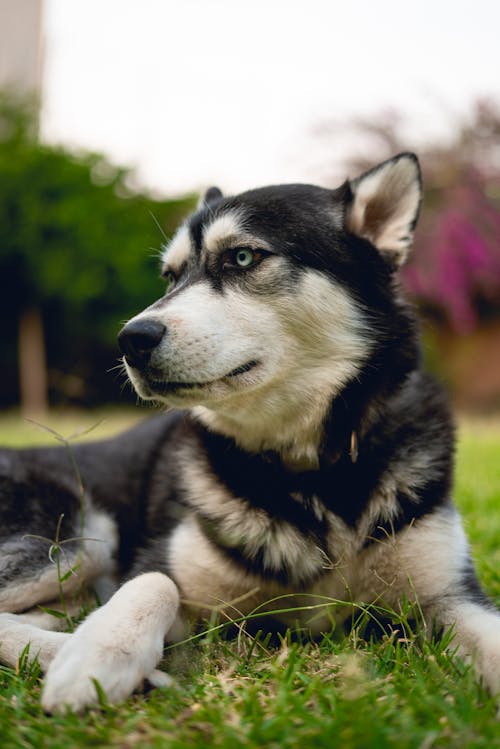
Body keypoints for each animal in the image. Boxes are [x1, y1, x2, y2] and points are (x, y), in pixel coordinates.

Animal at [0, 153, 500, 712]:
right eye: (170, 276)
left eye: (242, 257)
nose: (130, 339)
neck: (311, 471)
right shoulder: (168, 573)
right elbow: (151, 582)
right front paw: (97, 655)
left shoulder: (451, 594)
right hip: (79, 537)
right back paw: (75, 654)